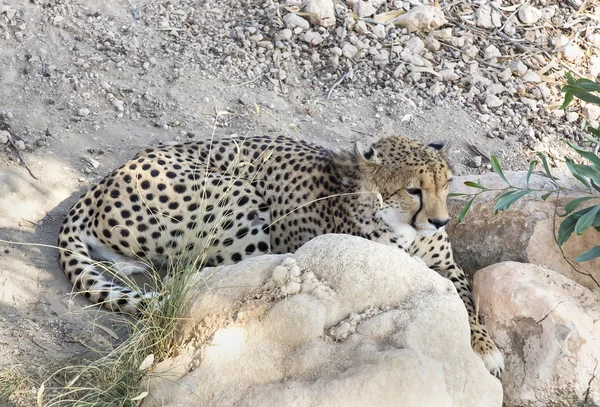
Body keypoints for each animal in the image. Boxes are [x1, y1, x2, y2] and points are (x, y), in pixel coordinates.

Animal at [57, 135, 506, 378]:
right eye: (414, 189)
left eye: (447, 185)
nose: (441, 219)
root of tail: (103, 182)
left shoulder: (446, 265)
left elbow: (467, 305)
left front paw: (486, 347)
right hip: (241, 197)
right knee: (192, 277)